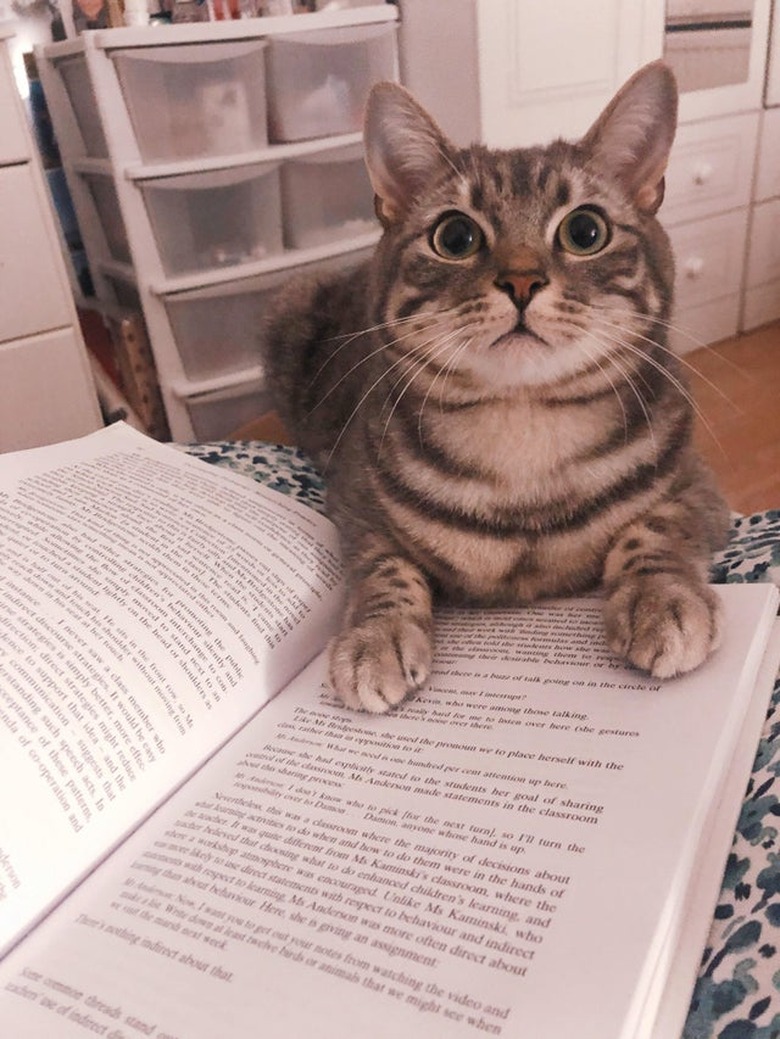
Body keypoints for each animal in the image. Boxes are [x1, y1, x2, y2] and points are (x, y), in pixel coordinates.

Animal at [259, 60, 731, 714]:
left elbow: (654, 528)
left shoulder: (701, 489)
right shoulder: (353, 503)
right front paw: (376, 636)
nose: (522, 281)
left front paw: (662, 601)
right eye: (455, 237)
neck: (523, 436)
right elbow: (383, 568)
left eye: (586, 231)